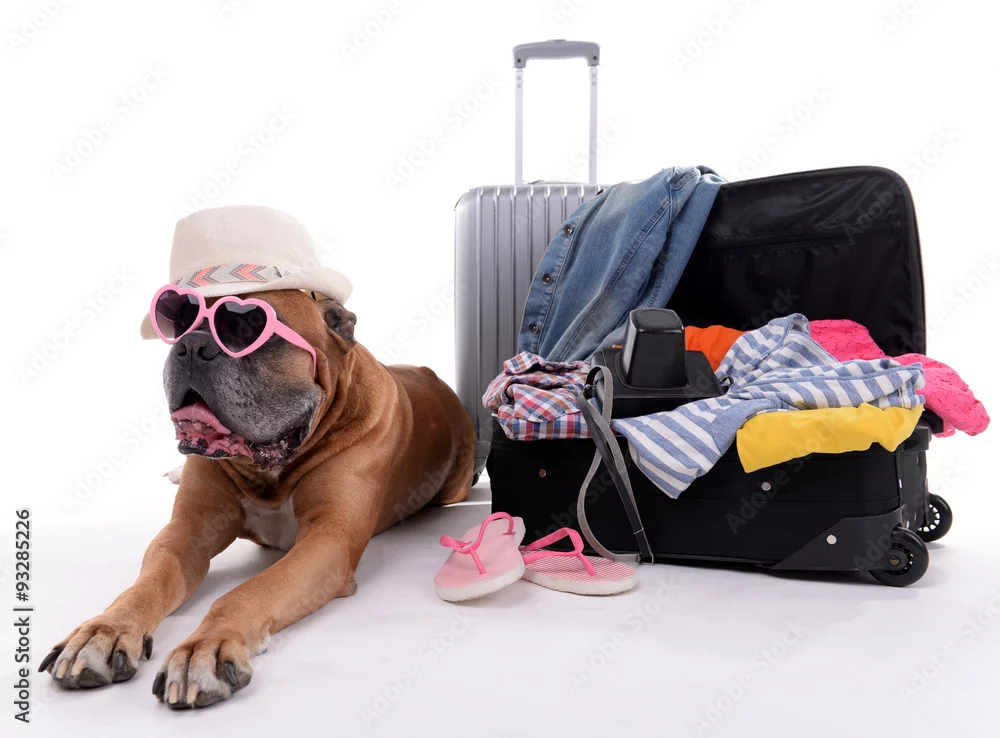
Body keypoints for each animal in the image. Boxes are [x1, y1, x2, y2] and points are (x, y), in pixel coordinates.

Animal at [39, 207, 475, 708]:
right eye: (180, 320)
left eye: (246, 328)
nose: (191, 344)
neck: (271, 469)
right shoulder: (184, 533)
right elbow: (149, 580)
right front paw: (102, 631)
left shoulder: (328, 541)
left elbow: (246, 592)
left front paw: (205, 648)